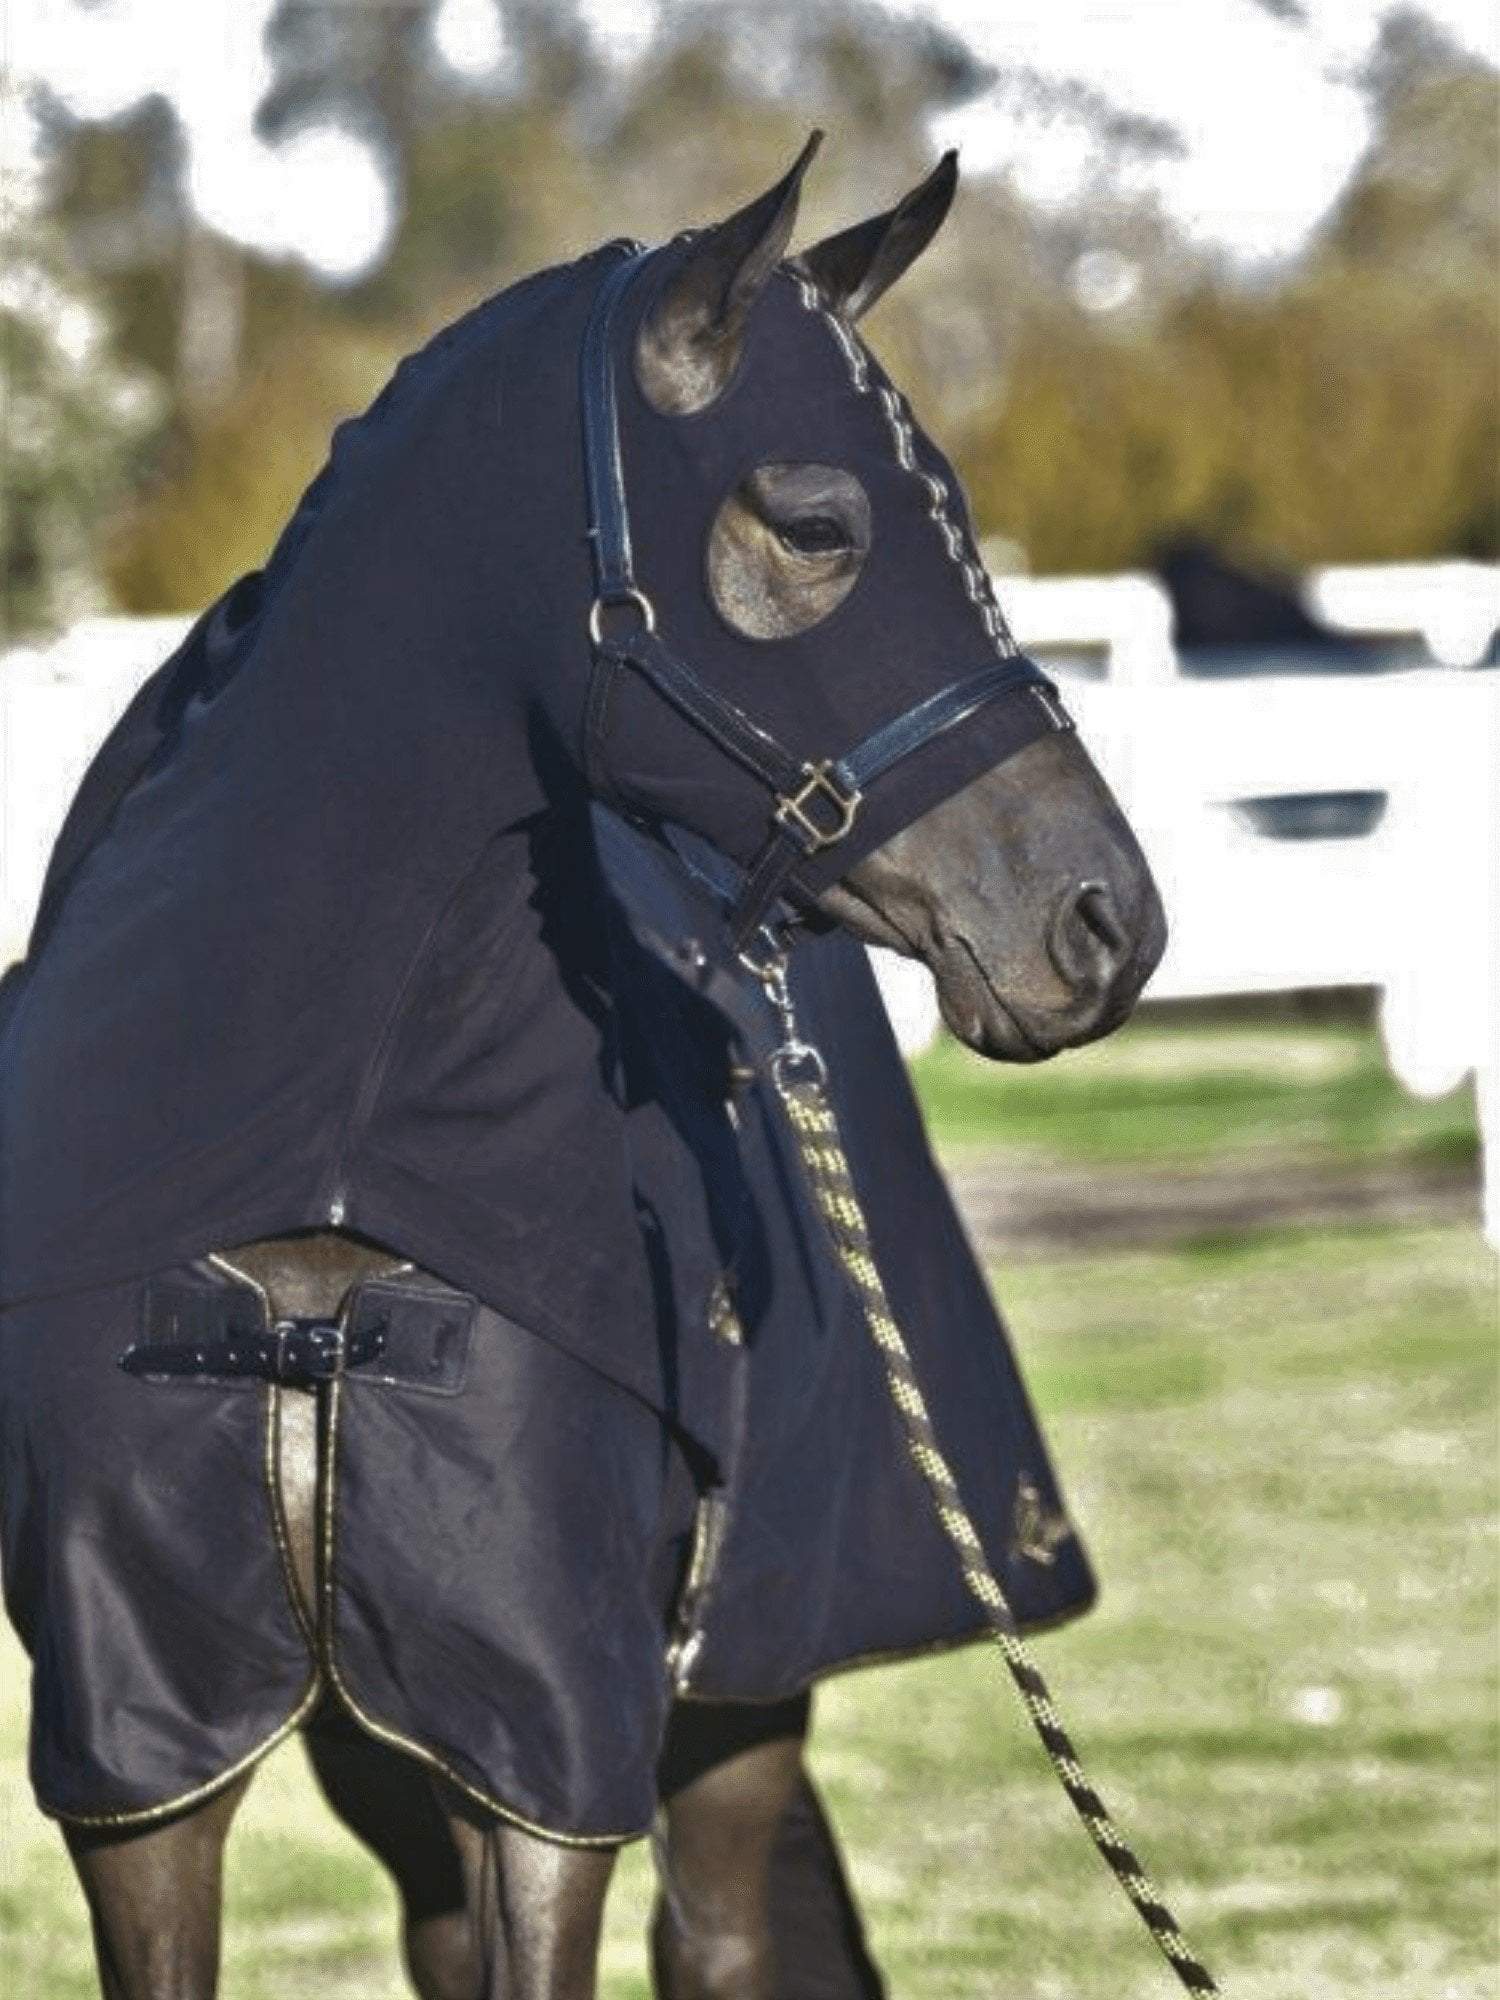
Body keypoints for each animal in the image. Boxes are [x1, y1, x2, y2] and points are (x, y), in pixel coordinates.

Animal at [0, 137, 1165, 1999]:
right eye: (819, 523)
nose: (1103, 921)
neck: (325, 1171)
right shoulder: (148, 1744)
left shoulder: (547, 1743)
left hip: (732, 1699)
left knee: (726, 1939)